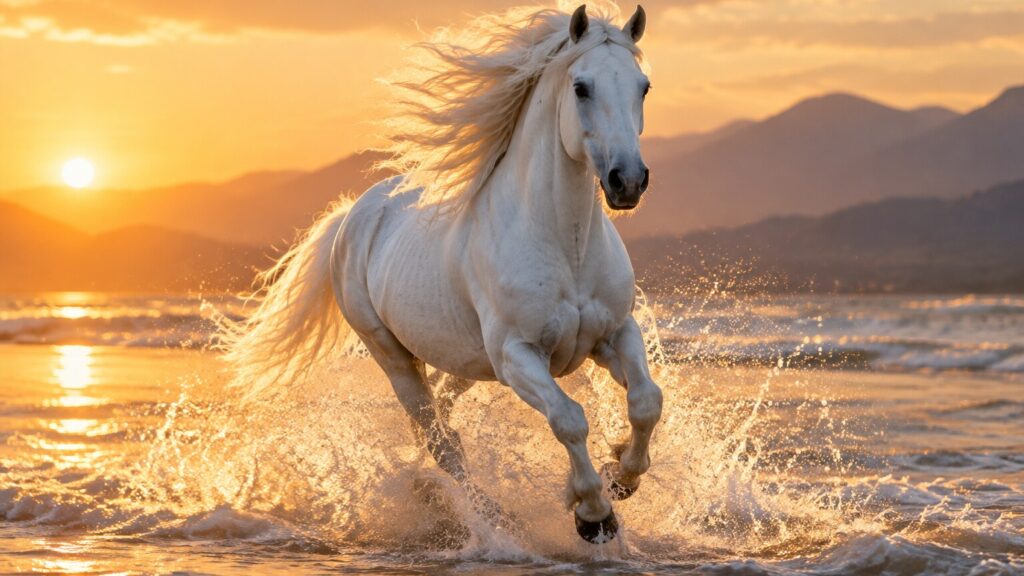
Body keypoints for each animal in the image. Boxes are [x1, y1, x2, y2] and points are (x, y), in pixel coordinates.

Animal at [221, 4, 663, 544]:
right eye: (581, 87)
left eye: (643, 86)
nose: (628, 181)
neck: (566, 245)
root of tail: (352, 216)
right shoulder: (518, 354)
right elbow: (568, 419)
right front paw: (593, 514)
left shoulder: (614, 334)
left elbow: (646, 401)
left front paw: (621, 475)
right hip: (393, 356)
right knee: (439, 441)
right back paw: (489, 517)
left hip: (468, 362)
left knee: (445, 421)